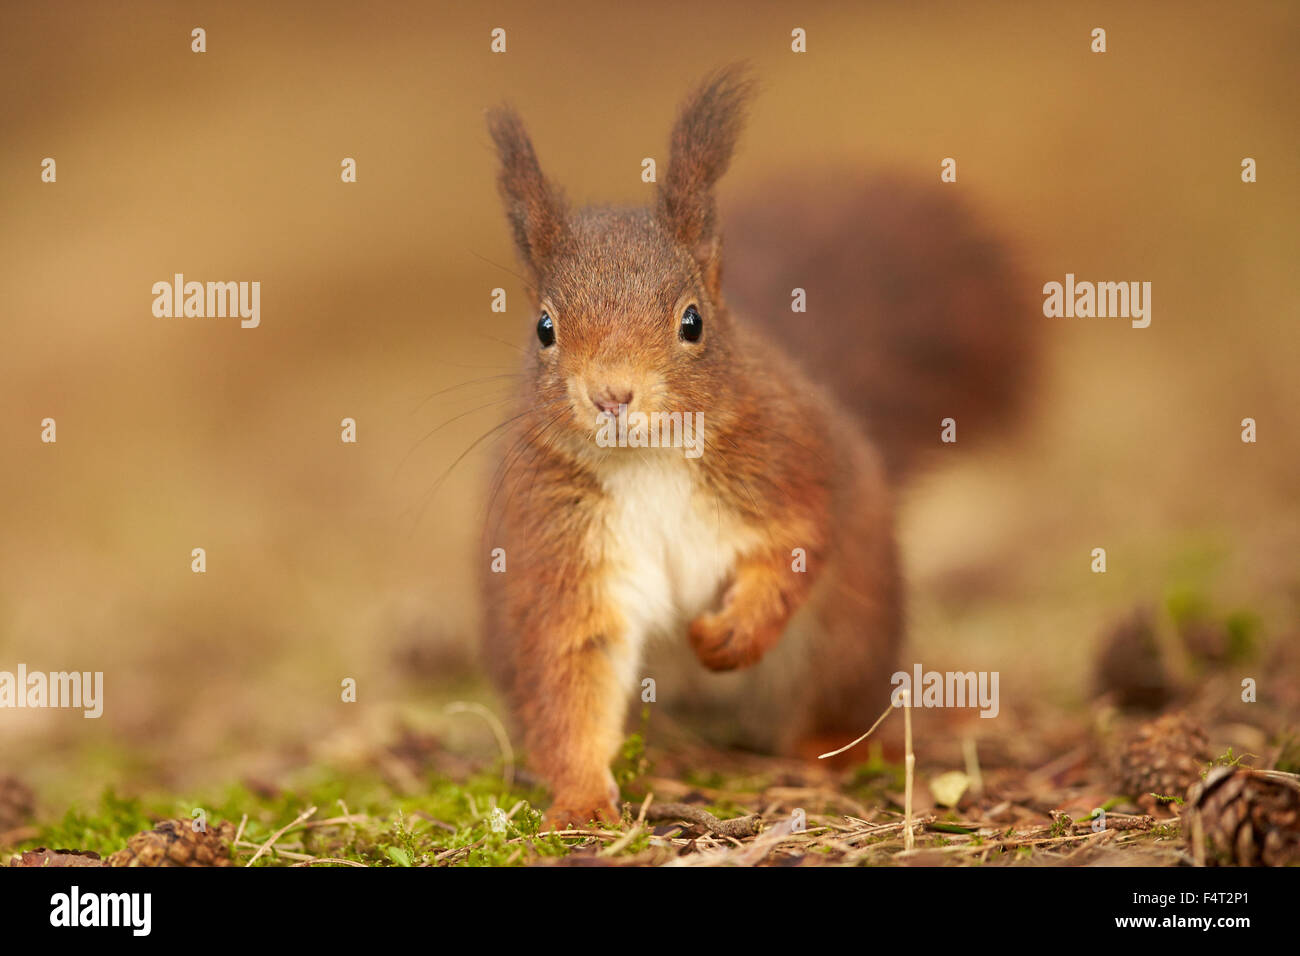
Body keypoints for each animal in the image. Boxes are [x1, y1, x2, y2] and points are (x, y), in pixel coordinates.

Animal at [478, 67, 1034, 832]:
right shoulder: (562, 549)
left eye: (692, 321)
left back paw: (834, 750)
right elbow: (570, 678)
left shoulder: (786, 465)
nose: (612, 395)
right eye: (543, 328)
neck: (646, 461)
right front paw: (583, 802)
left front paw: (728, 635)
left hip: (843, 640)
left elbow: (794, 546)